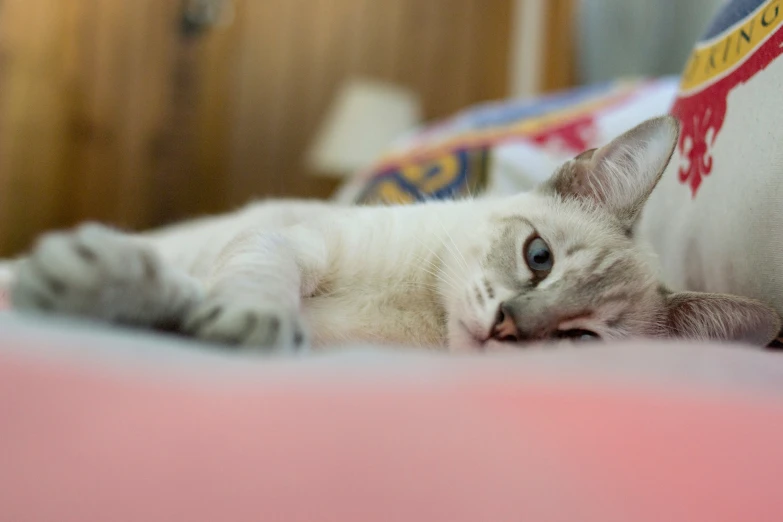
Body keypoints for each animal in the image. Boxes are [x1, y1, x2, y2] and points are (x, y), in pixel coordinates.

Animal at [3, 117, 780, 350]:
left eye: (581, 339)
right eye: (538, 258)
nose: (506, 325)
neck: (419, 311)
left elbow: (186, 302)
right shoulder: (292, 240)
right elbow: (248, 284)